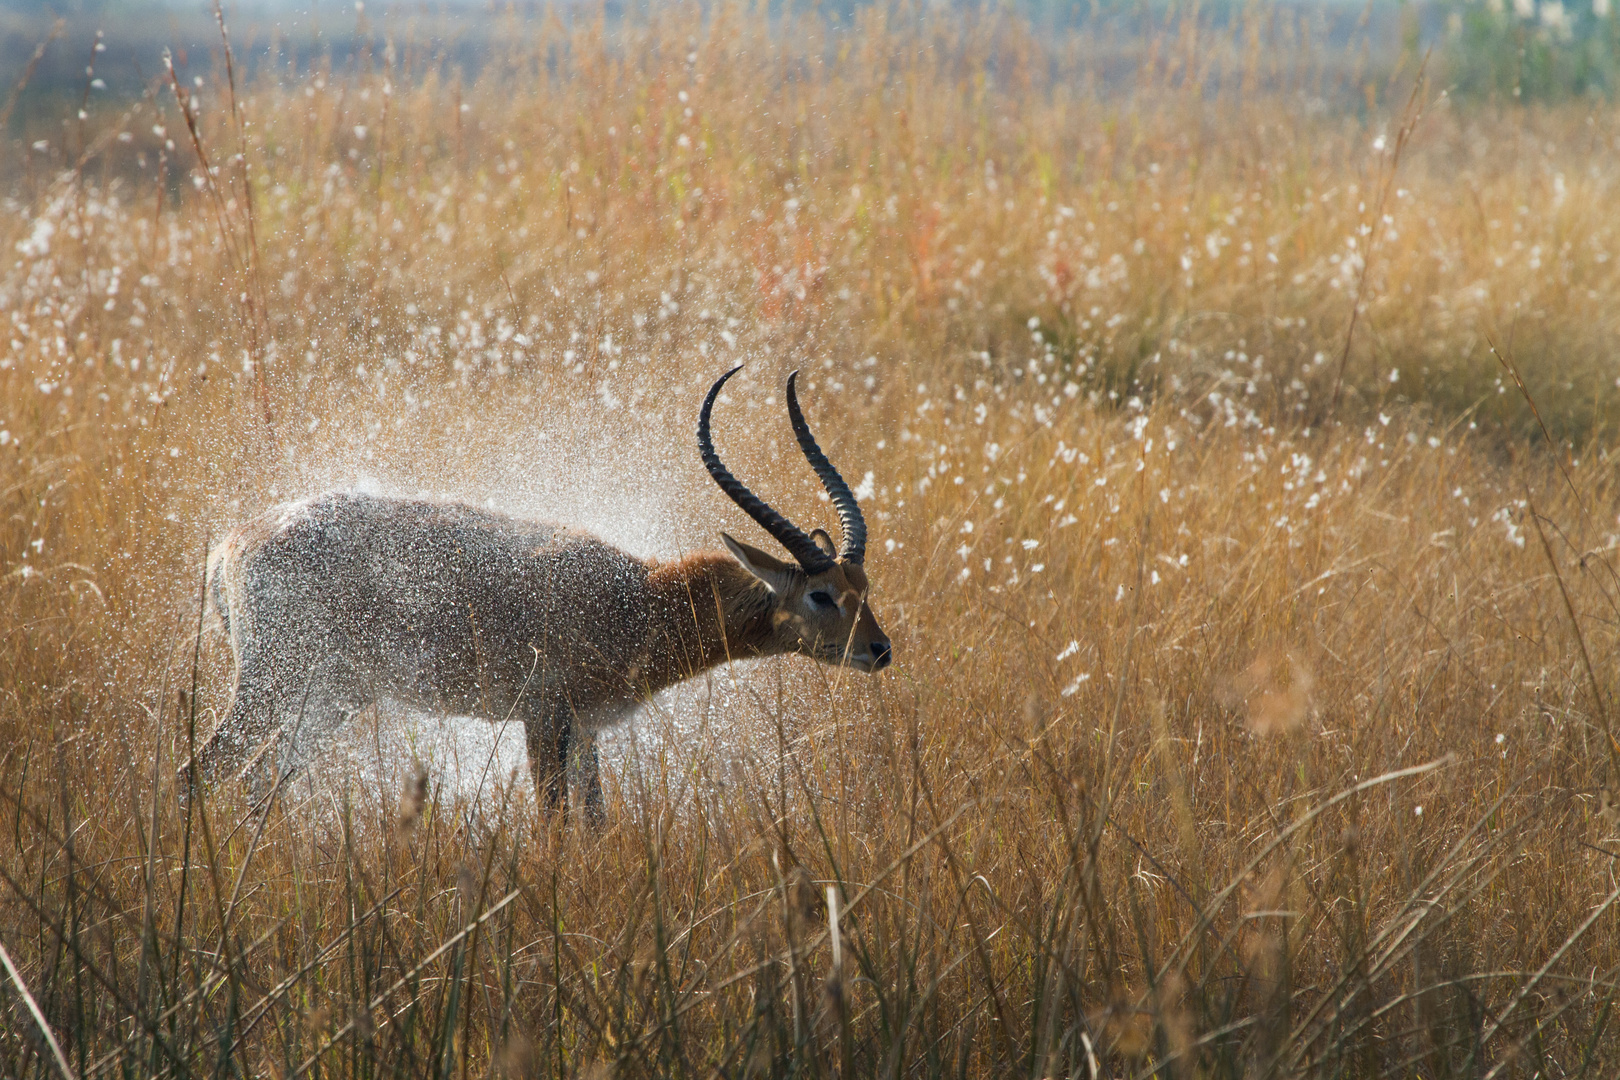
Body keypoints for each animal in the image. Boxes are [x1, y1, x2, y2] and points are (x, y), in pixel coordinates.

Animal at [192, 367, 900, 822]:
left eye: (862, 584)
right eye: (821, 595)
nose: (880, 650)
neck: (638, 599)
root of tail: (231, 542)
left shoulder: (585, 729)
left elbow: (595, 822)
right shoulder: (542, 717)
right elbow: (553, 826)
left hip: (330, 700)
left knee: (256, 783)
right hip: (271, 687)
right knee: (197, 774)